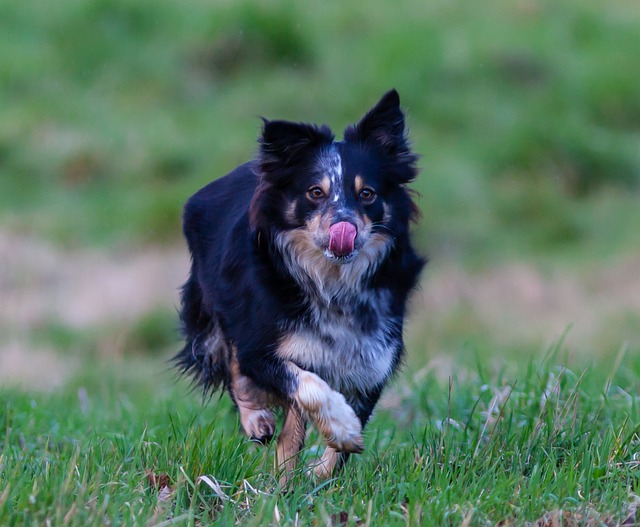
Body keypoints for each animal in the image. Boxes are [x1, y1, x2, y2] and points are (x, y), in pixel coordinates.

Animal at [174, 89, 424, 482]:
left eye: (367, 193)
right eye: (315, 192)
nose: (344, 229)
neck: (334, 281)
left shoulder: (374, 353)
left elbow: (332, 427)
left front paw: (318, 473)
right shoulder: (261, 343)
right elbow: (303, 383)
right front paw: (341, 427)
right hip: (217, 301)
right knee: (232, 361)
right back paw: (258, 421)